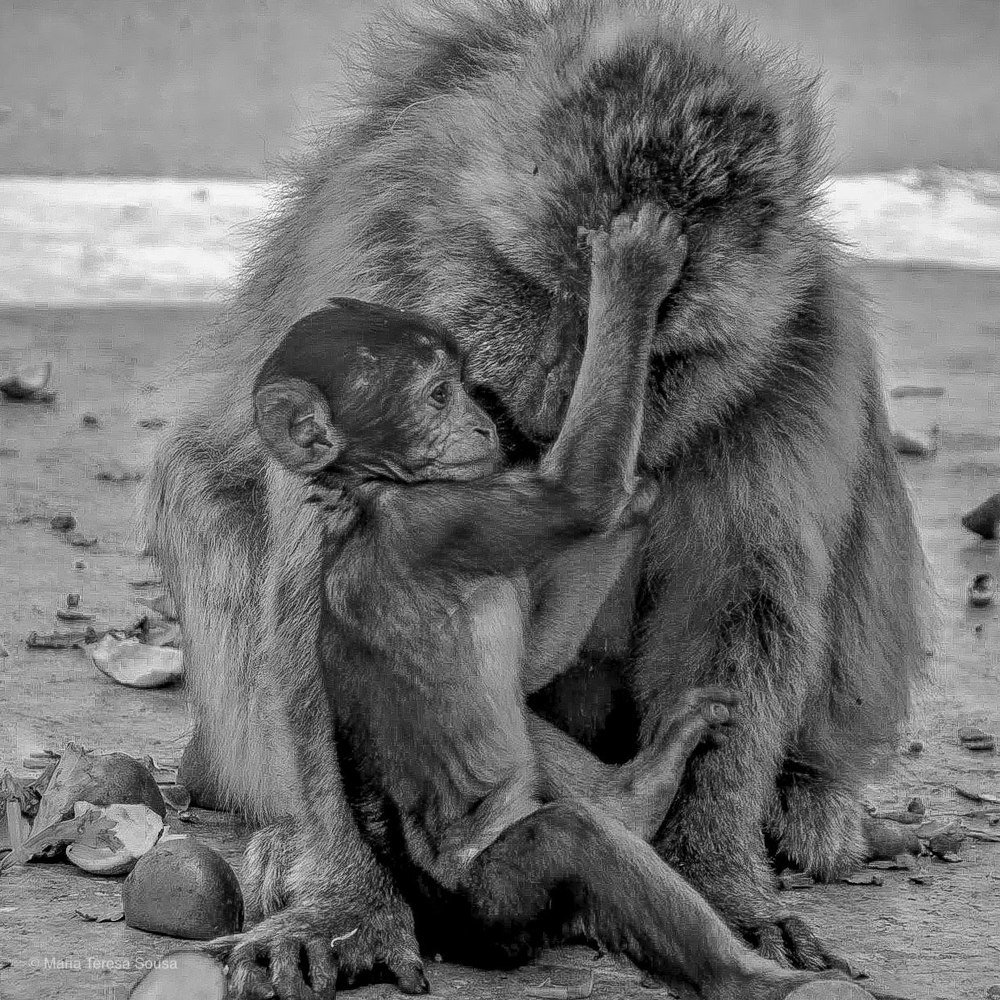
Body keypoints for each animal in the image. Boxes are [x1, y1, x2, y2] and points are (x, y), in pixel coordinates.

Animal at [203, 208, 863, 1000]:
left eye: (465, 385)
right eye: (439, 395)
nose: (485, 424)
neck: (373, 490)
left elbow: (533, 663)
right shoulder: (442, 520)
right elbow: (577, 495)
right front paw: (630, 278)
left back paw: (640, 792)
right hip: (492, 895)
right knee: (569, 840)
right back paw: (743, 965)